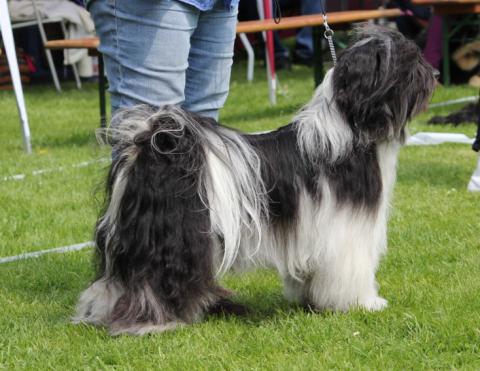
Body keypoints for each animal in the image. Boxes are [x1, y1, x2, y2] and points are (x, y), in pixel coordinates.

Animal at [73, 24, 436, 336]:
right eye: (410, 61)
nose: (435, 74)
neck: (345, 130)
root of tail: (149, 144)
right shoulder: (346, 230)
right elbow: (352, 271)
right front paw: (365, 303)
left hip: (132, 236)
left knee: (114, 281)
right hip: (172, 239)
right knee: (152, 281)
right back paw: (154, 321)